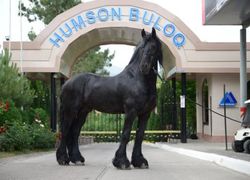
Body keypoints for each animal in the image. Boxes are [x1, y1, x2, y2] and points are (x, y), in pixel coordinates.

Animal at [55, 27, 163, 169]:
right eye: (141, 48)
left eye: (153, 47)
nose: (144, 67)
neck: (138, 79)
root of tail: (66, 83)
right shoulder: (131, 111)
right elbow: (126, 134)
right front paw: (121, 161)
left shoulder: (145, 114)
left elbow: (139, 136)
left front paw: (139, 161)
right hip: (70, 110)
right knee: (66, 130)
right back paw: (63, 159)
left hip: (83, 112)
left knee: (74, 132)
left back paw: (77, 159)